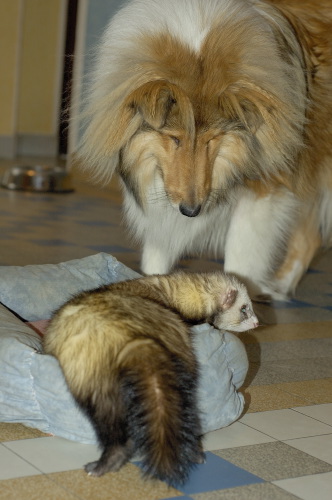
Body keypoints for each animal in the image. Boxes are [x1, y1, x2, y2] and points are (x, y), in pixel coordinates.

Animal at [78, 0, 332, 298]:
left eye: (212, 139)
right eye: (174, 138)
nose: (191, 211)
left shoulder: (264, 189)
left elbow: (240, 261)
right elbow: (156, 256)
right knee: (311, 236)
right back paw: (279, 288)